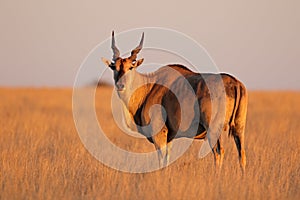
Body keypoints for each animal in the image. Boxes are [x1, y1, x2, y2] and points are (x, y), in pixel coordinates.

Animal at [102, 31, 247, 172]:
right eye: (114, 68)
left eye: (130, 68)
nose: (120, 85)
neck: (149, 86)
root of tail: (234, 83)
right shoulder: (169, 138)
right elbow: (167, 159)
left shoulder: (159, 135)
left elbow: (161, 160)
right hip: (239, 128)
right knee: (242, 154)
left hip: (213, 130)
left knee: (219, 152)